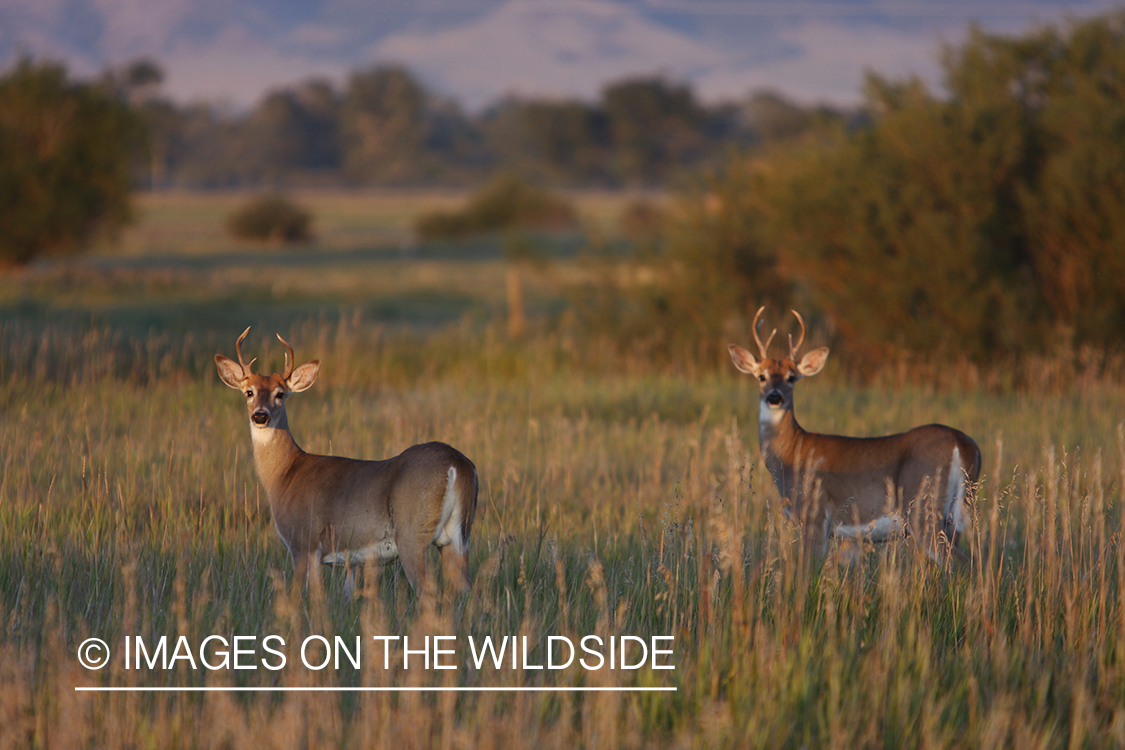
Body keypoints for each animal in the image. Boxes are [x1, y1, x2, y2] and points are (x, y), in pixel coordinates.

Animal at [214, 326, 474, 593]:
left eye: (280, 394)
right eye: (249, 392)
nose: (260, 415)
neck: (283, 474)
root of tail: (457, 464)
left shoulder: (303, 542)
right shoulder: (347, 559)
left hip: (412, 533)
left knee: (428, 589)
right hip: (457, 537)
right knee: (466, 588)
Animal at [729, 308, 976, 559]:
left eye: (792, 376)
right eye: (761, 376)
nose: (774, 397)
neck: (791, 452)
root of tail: (963, 443)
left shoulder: (815, 515)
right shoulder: (848, 536)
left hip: (922, 506)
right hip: (957, 512)